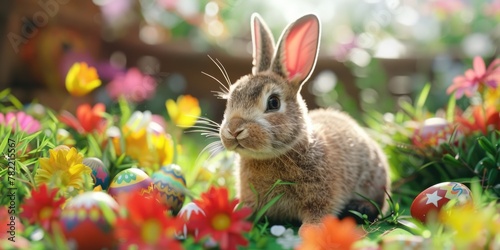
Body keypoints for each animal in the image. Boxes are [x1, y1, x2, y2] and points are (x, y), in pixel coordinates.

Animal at [211, 13, 390, 229]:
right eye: (231, 98)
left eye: (273, 103)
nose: (234, 129)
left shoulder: (320, 199)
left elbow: (315, 219)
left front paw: (311, 231)